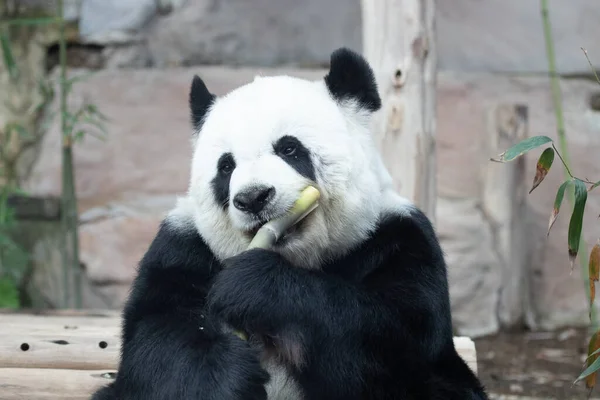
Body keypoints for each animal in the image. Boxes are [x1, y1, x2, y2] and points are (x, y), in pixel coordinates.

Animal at [92, 47, 488, 400]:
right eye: (226, 166)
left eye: (289, 148)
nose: (253, 198)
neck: (294, 255)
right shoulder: (183, 246)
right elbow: (154, 340)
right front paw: (225, 374)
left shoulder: (398, 239)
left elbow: (397, 341)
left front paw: (255, 286)